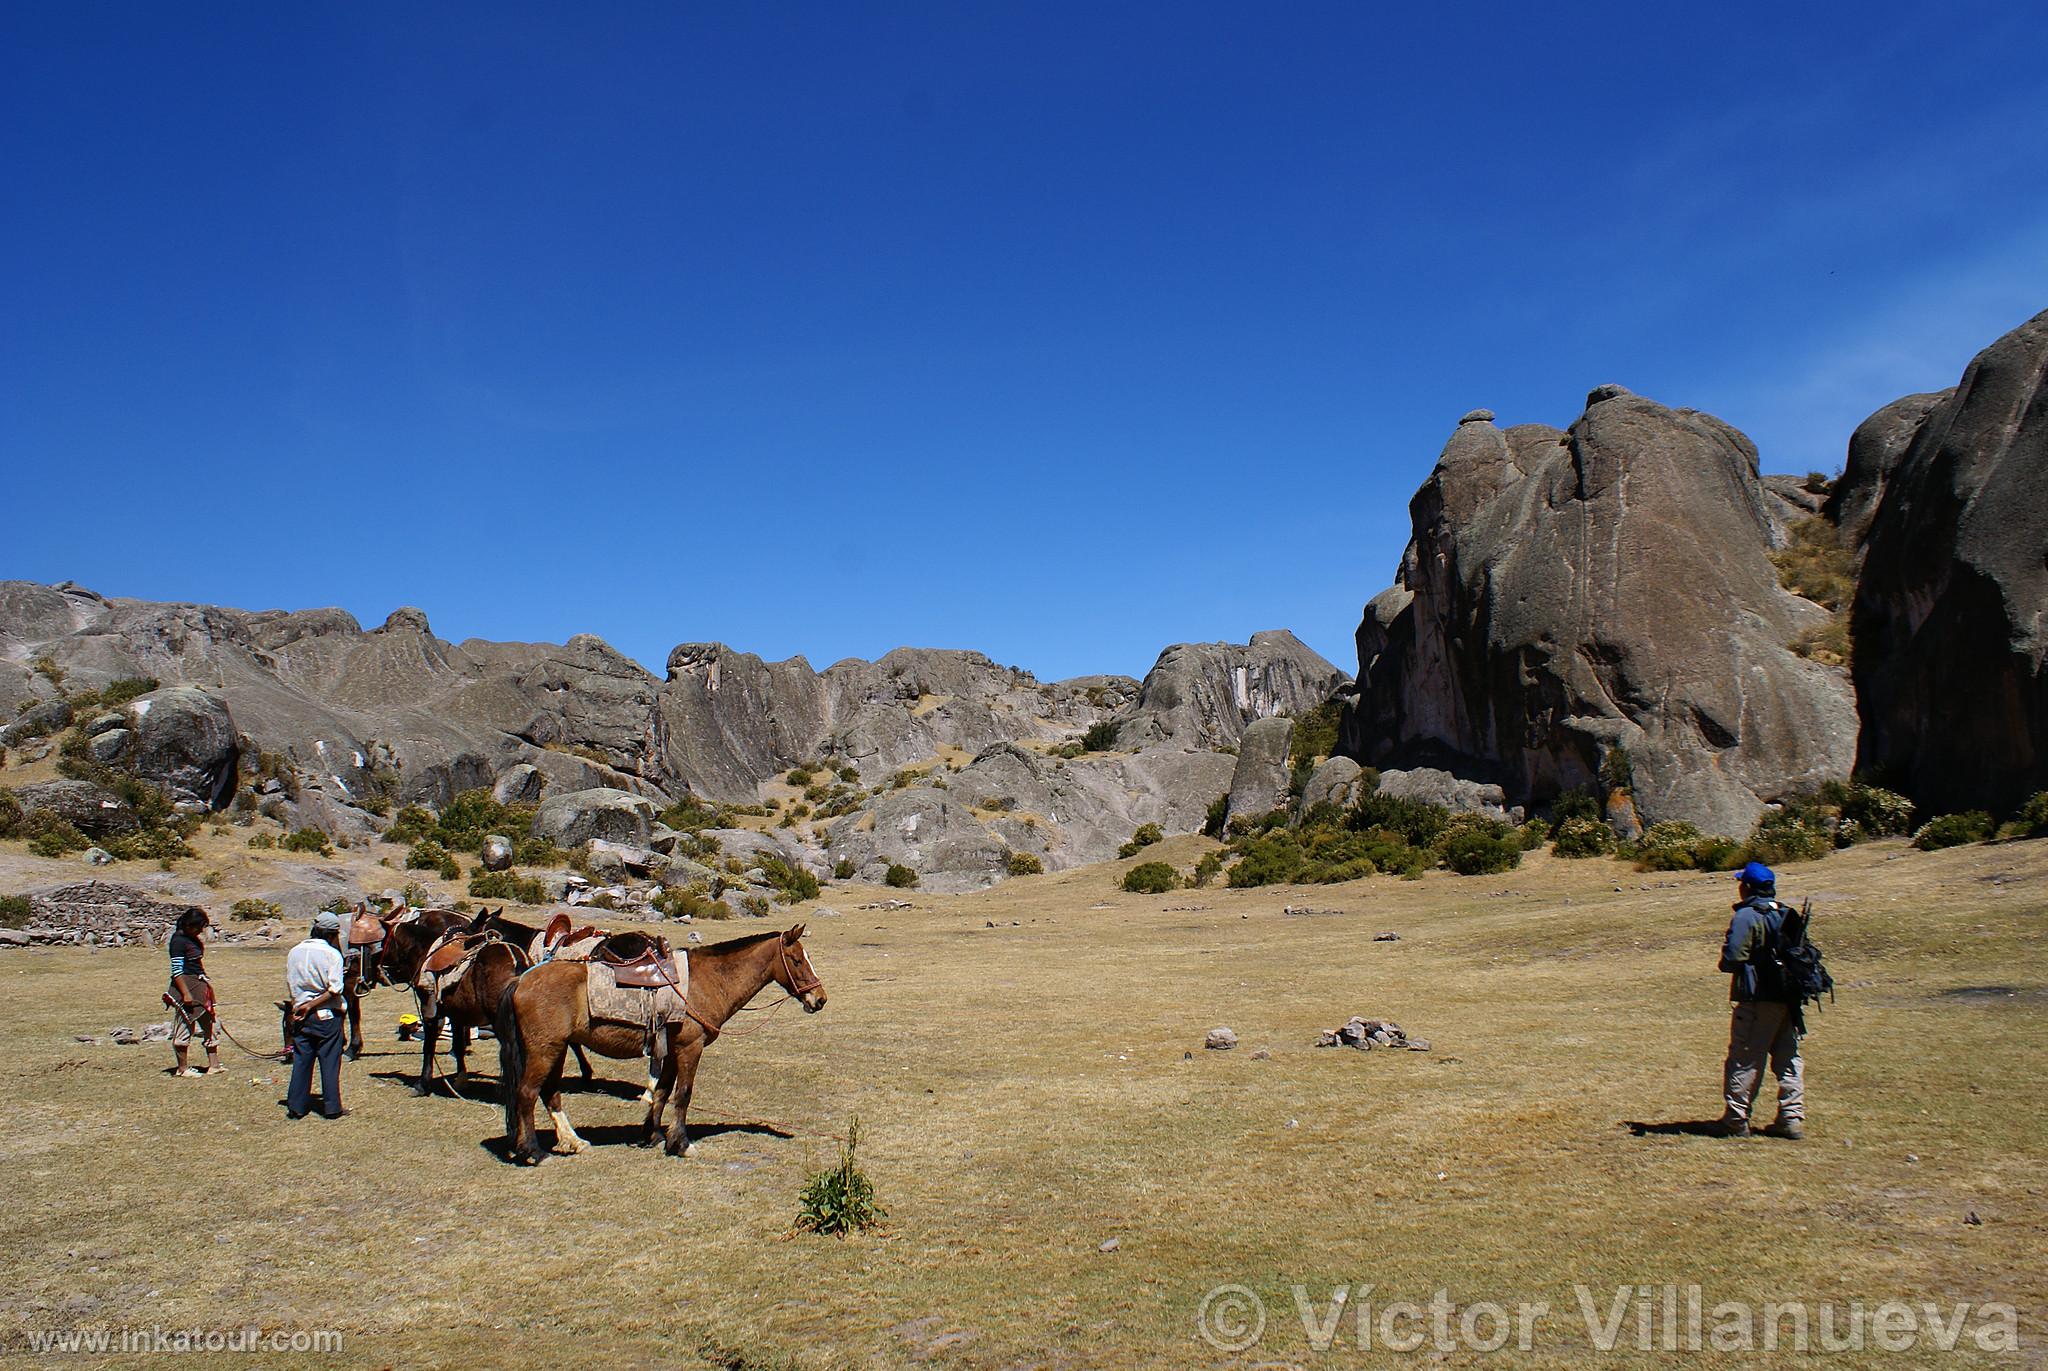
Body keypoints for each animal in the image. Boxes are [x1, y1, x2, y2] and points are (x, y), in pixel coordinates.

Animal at [499, 926, 827, 1164]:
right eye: (797, 960)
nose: (820, 999)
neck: (707, 981)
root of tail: (521, 980)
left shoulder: (668, 1051)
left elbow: (662, 1092)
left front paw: (654, 1135)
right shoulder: (690, 1048)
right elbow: (683, 1095)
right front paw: (681, 1144)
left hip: (557, 1049)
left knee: (549, 1093)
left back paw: (572, 1141)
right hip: (545, 1050)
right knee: (527, 1093)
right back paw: (533, 1151)